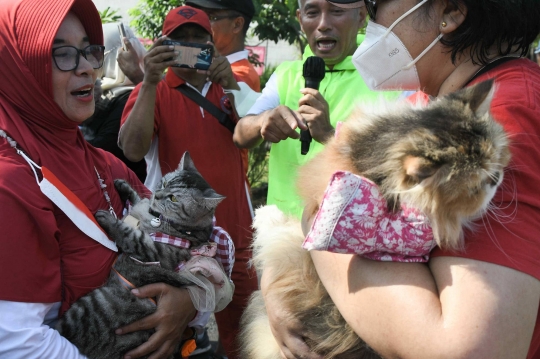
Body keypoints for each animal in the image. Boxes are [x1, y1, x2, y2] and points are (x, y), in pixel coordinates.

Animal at [57, 152, 232, 359]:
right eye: (164, 183)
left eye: (173, 198)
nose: (158, 194)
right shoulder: (144, 207)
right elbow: (139, 197)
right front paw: (122, 185)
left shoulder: (151, 250)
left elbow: (127, 233)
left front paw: (108, 219)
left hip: (86, 309)